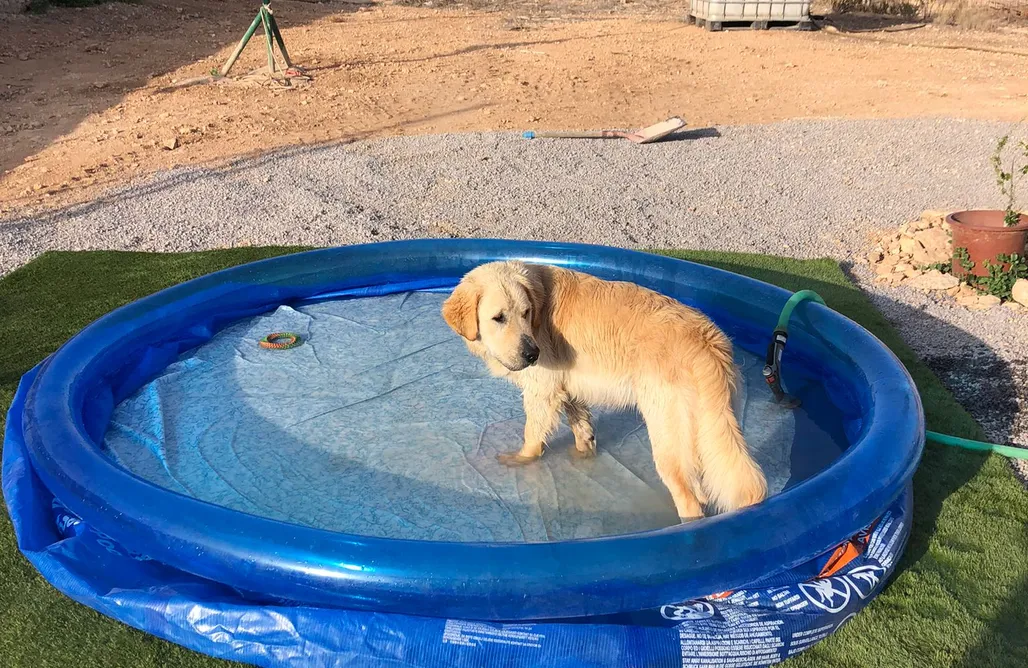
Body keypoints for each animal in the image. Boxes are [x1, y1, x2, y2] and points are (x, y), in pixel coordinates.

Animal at [437, 260, 768, 520]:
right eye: (499, 317)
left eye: (526, 313)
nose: (532, 355)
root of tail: (709, 344)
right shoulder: (569, 389)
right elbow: (581, 425)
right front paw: (583, 454)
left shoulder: (542, 391)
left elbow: (532, 434)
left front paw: (521, 460)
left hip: (667, 432)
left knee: (688, 499)